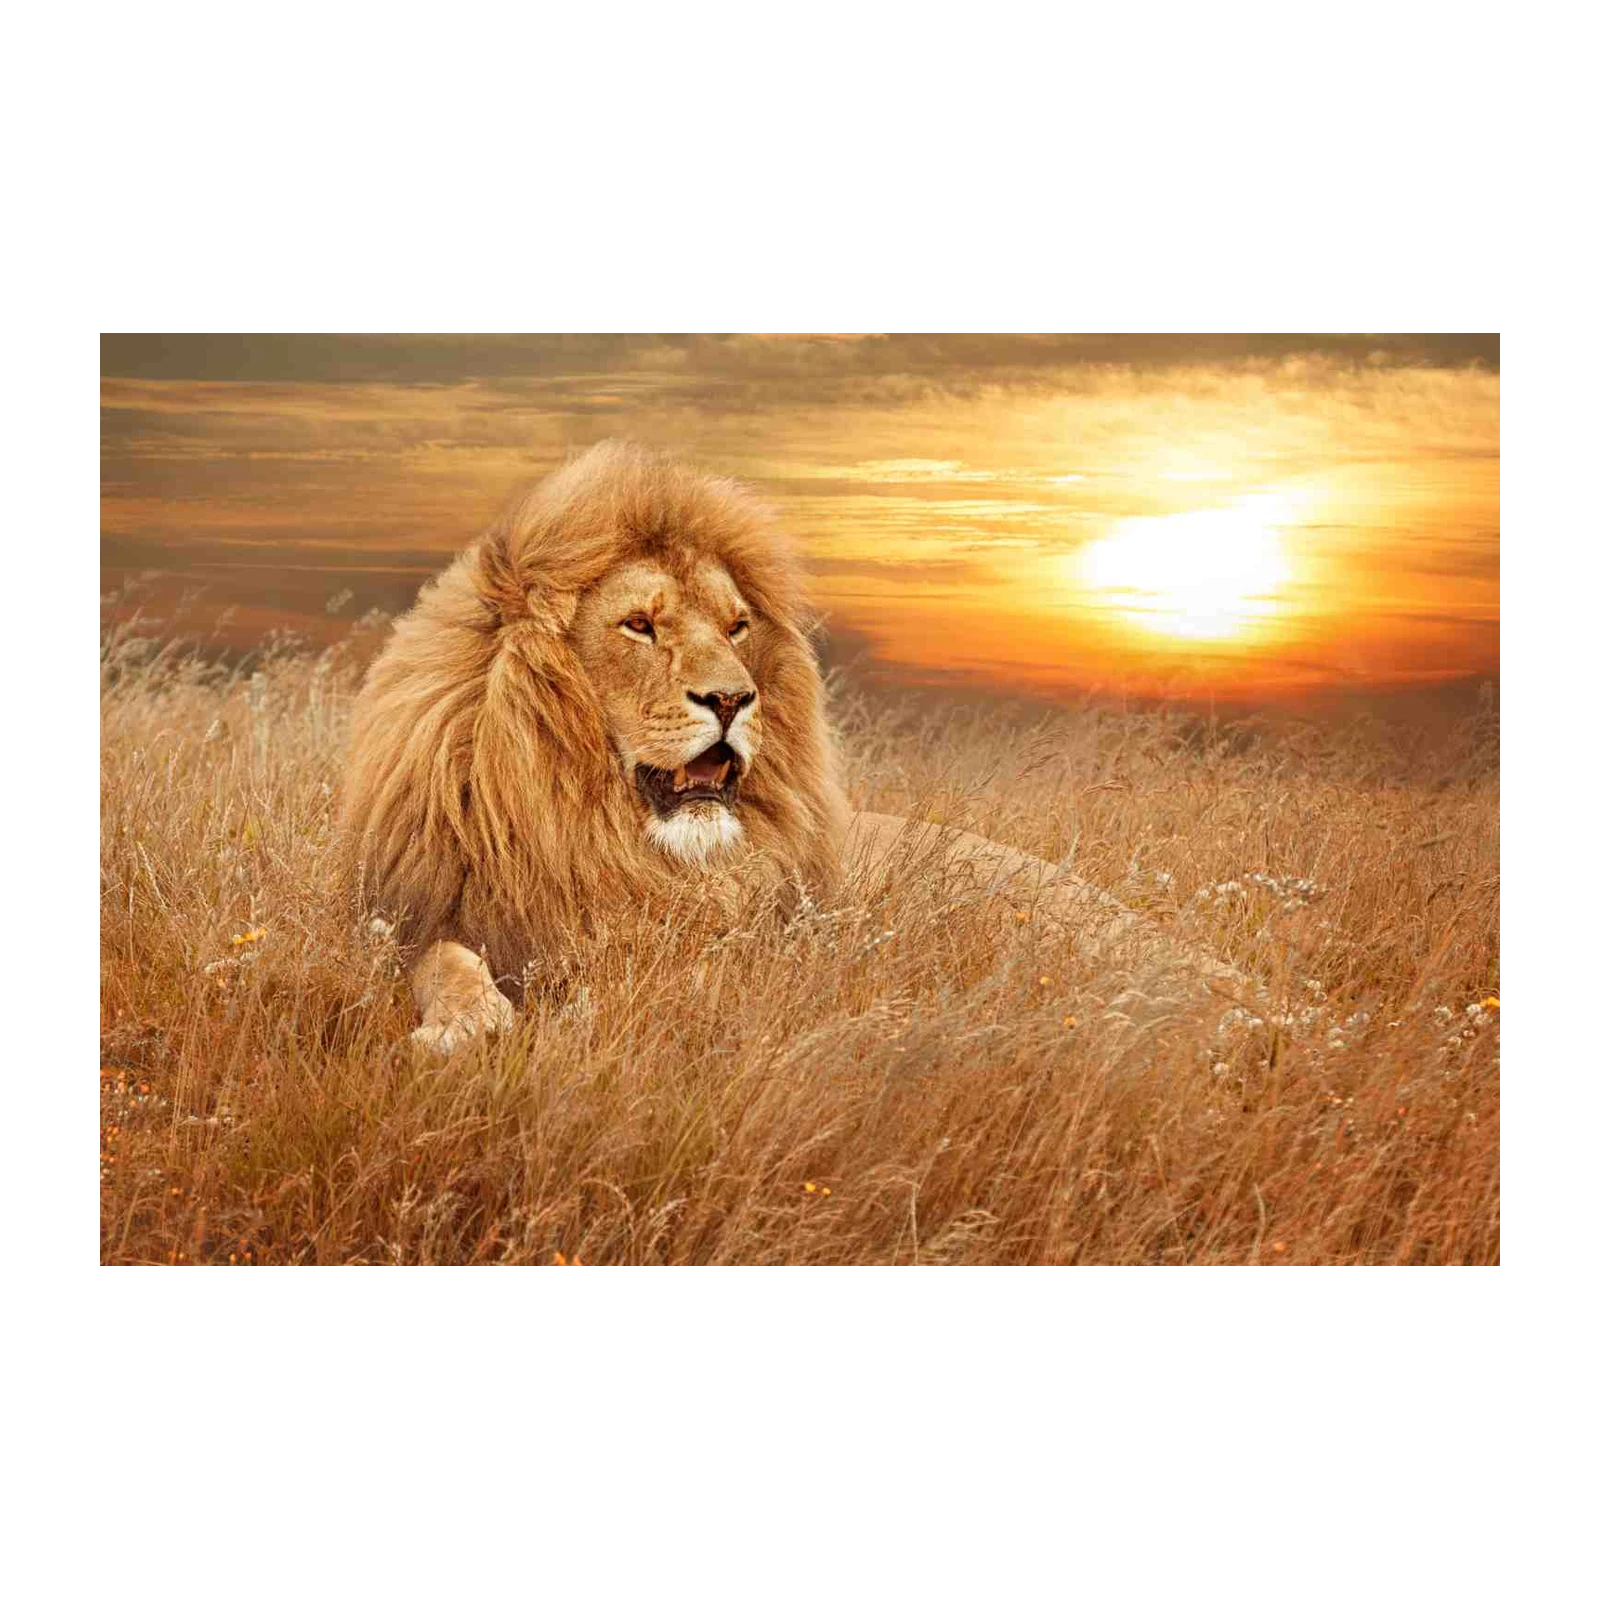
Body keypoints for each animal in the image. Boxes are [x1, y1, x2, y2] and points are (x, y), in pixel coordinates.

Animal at [340, 441, 1242, 1052]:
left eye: (737, 626)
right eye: (639, 625)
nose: (734, 699)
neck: (595, 834)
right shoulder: (416, 918)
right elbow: (443, 960)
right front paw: (467, 1025)